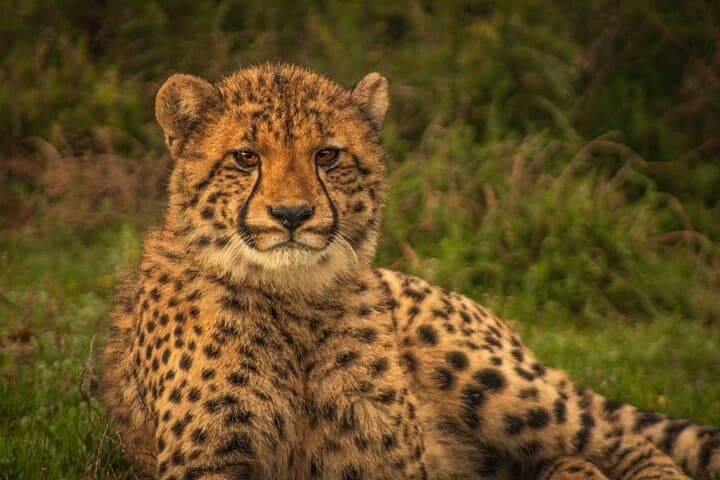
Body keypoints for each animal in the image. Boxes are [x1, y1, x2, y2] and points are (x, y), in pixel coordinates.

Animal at [101, 63, 720, 480]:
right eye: (245, 157)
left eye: (326, 155)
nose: (293, 214)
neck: (292, 300)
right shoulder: (209, 460)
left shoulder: (384, 461)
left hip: (486, 377)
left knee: (615, 439)